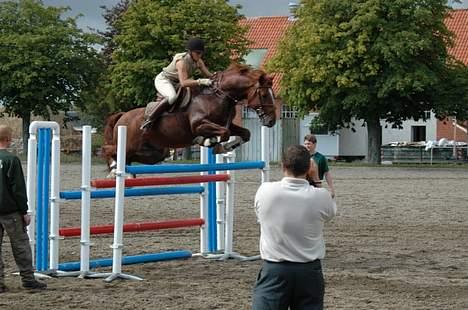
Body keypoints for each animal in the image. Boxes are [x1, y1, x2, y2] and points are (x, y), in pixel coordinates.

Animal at [101, 62, 278, 170]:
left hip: (155, 151)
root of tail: (122, 116)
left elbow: (244, 133)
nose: (271, 121)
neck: (219, 96)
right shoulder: (199, 125)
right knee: (108, 149)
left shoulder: (227, 124)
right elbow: (224, 133)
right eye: (264, 95)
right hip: (128, 143)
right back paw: (113, 168)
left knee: (135, 157)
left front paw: (225, 146)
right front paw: (209, 142)